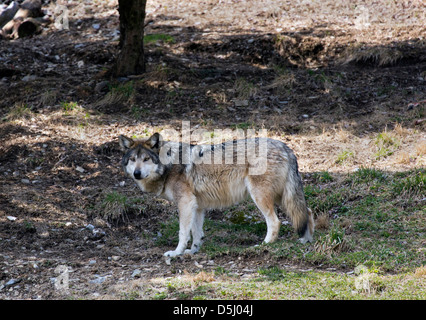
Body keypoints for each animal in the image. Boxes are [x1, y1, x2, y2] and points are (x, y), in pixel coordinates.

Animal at [118, 132, 314, 258]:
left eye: (146, 159)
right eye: (133, 160)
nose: (136, 173)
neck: (169, 165)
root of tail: (286, 147)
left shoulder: (185, 203)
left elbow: (183, 233)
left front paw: (176, 253)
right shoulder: (197, 206)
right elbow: (197, 233)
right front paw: (193, 252)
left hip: (261, 197)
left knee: (275, 221)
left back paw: (265, 245)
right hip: (283, 197)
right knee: (307, 212)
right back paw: (306, 240)